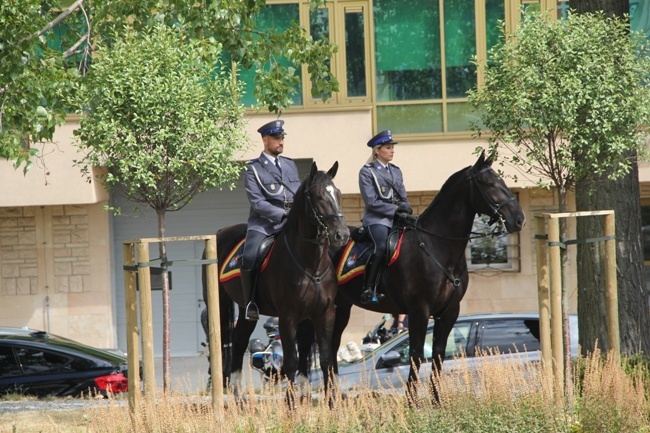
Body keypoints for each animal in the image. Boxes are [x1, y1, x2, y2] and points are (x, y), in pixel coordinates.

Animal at [201, 159, 346, 404]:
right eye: (318, 197)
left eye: (338, 193)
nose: (342, 235)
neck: (311, 263)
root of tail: (221, 232)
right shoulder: (288, 316)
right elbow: (291, 360)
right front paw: (291, 403)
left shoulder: (324, 312)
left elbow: (325, 359)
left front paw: (330, 402)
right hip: (218, 305)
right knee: (219, 344)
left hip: (246, 309)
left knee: (239, 340)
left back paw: (239, 396)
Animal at [330, 152, 520, 402]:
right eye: (489, 184)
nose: (519, 219)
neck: (437, 246)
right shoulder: (419, 309)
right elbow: (416, 353)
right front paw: (412, 402)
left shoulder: (449, 311)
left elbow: (438, 354)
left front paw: (437, 400)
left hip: (340, 308)